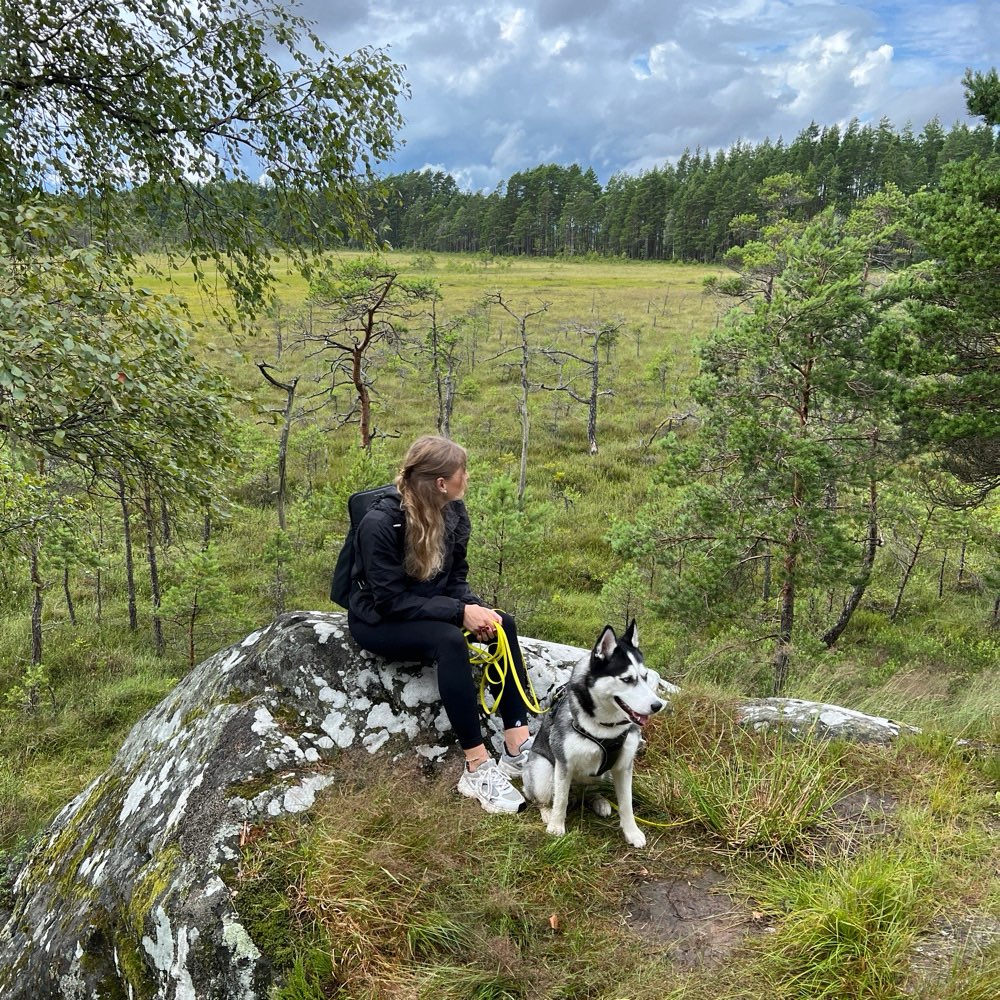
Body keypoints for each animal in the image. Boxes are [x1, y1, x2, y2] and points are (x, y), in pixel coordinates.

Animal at [520, 620, 668, 848]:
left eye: (644, 677)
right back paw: (547, 812)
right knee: (543, 797)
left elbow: (626, 804)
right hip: (542, 771)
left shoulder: (624, 766)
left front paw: (632, 832)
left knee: (590, 792)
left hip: (604, 774)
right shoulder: (564, 764)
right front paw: (556, 826)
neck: (605, 726)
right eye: (627, 679)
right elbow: (560, 800)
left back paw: (599, 801)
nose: (657, 706)